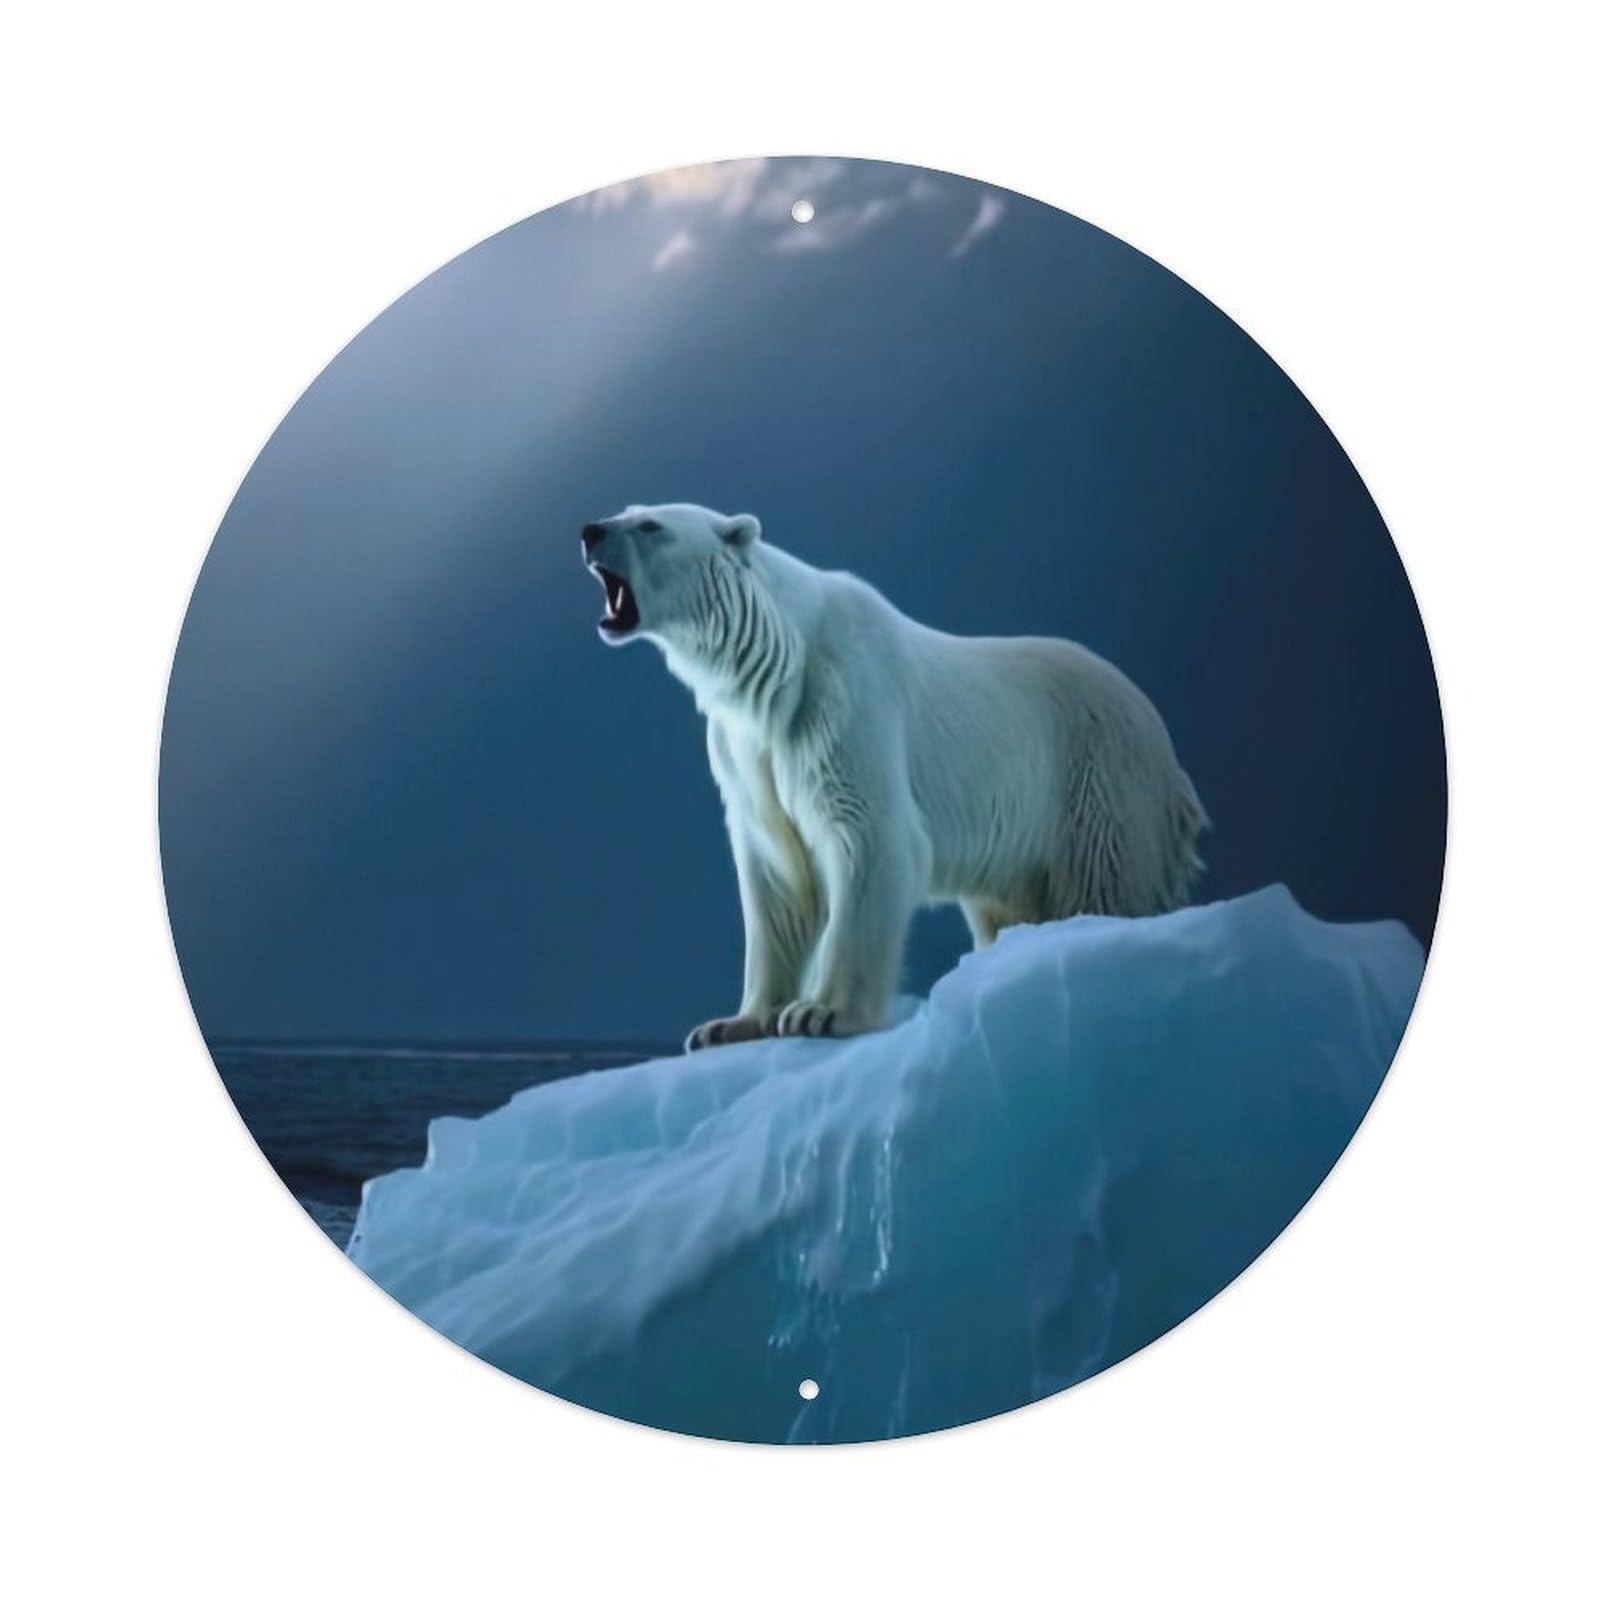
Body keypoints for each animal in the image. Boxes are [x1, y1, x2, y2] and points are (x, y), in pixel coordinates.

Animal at [581, 503, 1208, 1051]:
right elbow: (776, 876)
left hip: (1097, 779)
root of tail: (1165, 746)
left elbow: (869, 837)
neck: (780, 663)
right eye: (627, 509)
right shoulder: (745, 751)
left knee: (1105, 881)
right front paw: (729, 1025)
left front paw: (820, 1012)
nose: (589, 530)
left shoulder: (844, 706)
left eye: (650, 525)